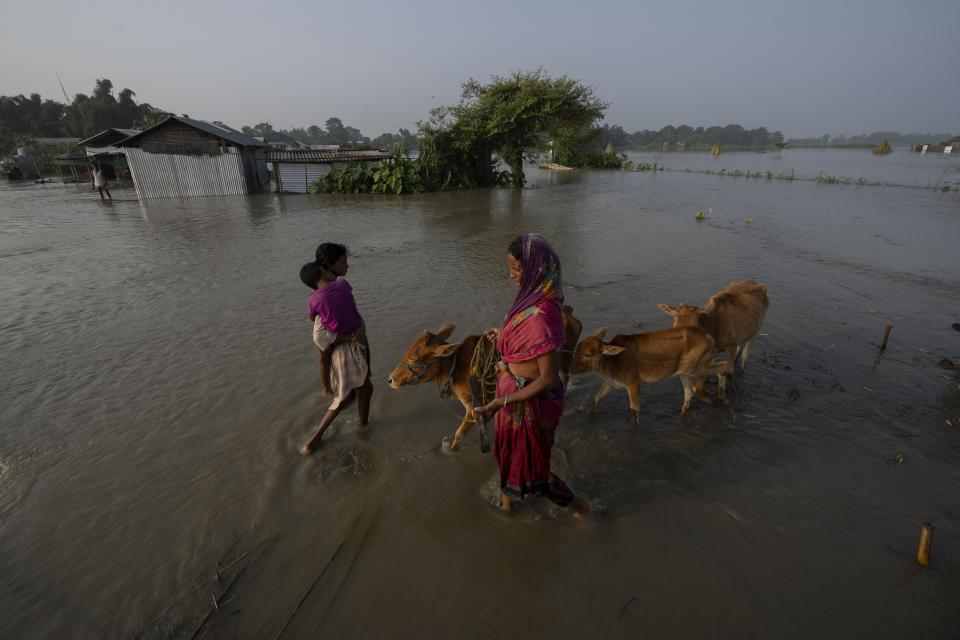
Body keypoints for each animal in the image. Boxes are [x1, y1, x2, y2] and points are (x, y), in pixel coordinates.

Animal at [568, 328, 724, 422]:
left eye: (588, 354)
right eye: (578, 347)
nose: (570, 368)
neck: (612, 361)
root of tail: (709, 336)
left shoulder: (633, 385)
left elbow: (634, 410)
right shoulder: (608, 383)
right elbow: (595, 400)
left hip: (697, 368)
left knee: (722, 366)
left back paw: (721, 392)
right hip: (684, 372)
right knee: (690, 391)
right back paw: (682, 413)